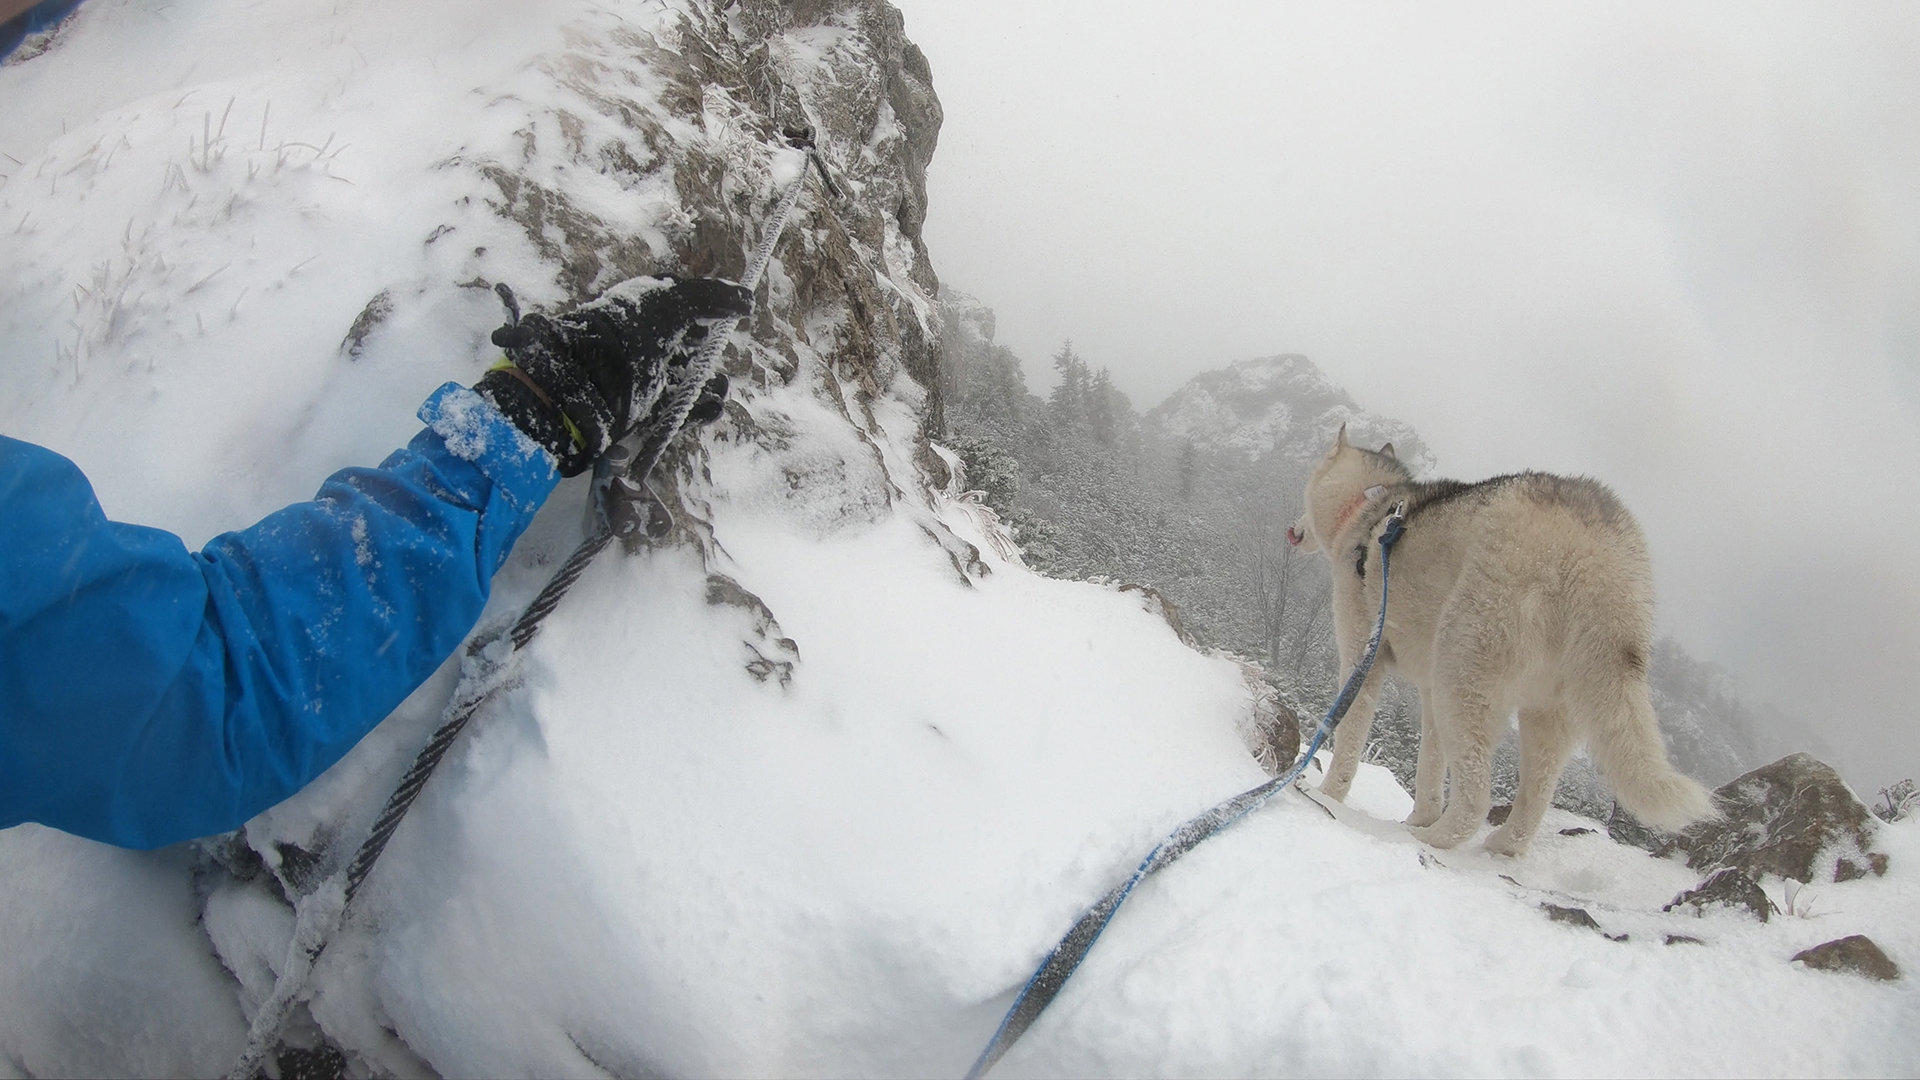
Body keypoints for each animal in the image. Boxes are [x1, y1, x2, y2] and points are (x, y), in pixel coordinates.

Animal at [1290, 424, 1712, 853]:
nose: (1293, 528)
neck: (1370, 506)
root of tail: (1592, 553)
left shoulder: (1364, 659)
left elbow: (1347, 740)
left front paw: (1329, 796)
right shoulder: (1428, 691)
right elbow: (1430, 768)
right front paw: (1419, 815)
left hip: (1463, 678)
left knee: (1476, 799)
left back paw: (1431, 839)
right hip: (1543, 712)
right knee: (1532, 804)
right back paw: (1497, 847)